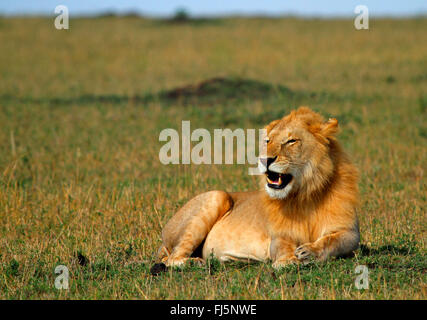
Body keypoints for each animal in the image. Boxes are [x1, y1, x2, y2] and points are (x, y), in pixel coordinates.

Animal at [152, 105, 360, 270]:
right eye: (268, 141)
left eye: (291, 141)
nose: (264, 160)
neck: (305, 194)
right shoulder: (278, 234)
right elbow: (283, 245)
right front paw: (287, 261)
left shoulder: (350, 232)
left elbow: (331, 241)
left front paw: (309, 251)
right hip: (216, 196)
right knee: (171, 259)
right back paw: (195, 262)